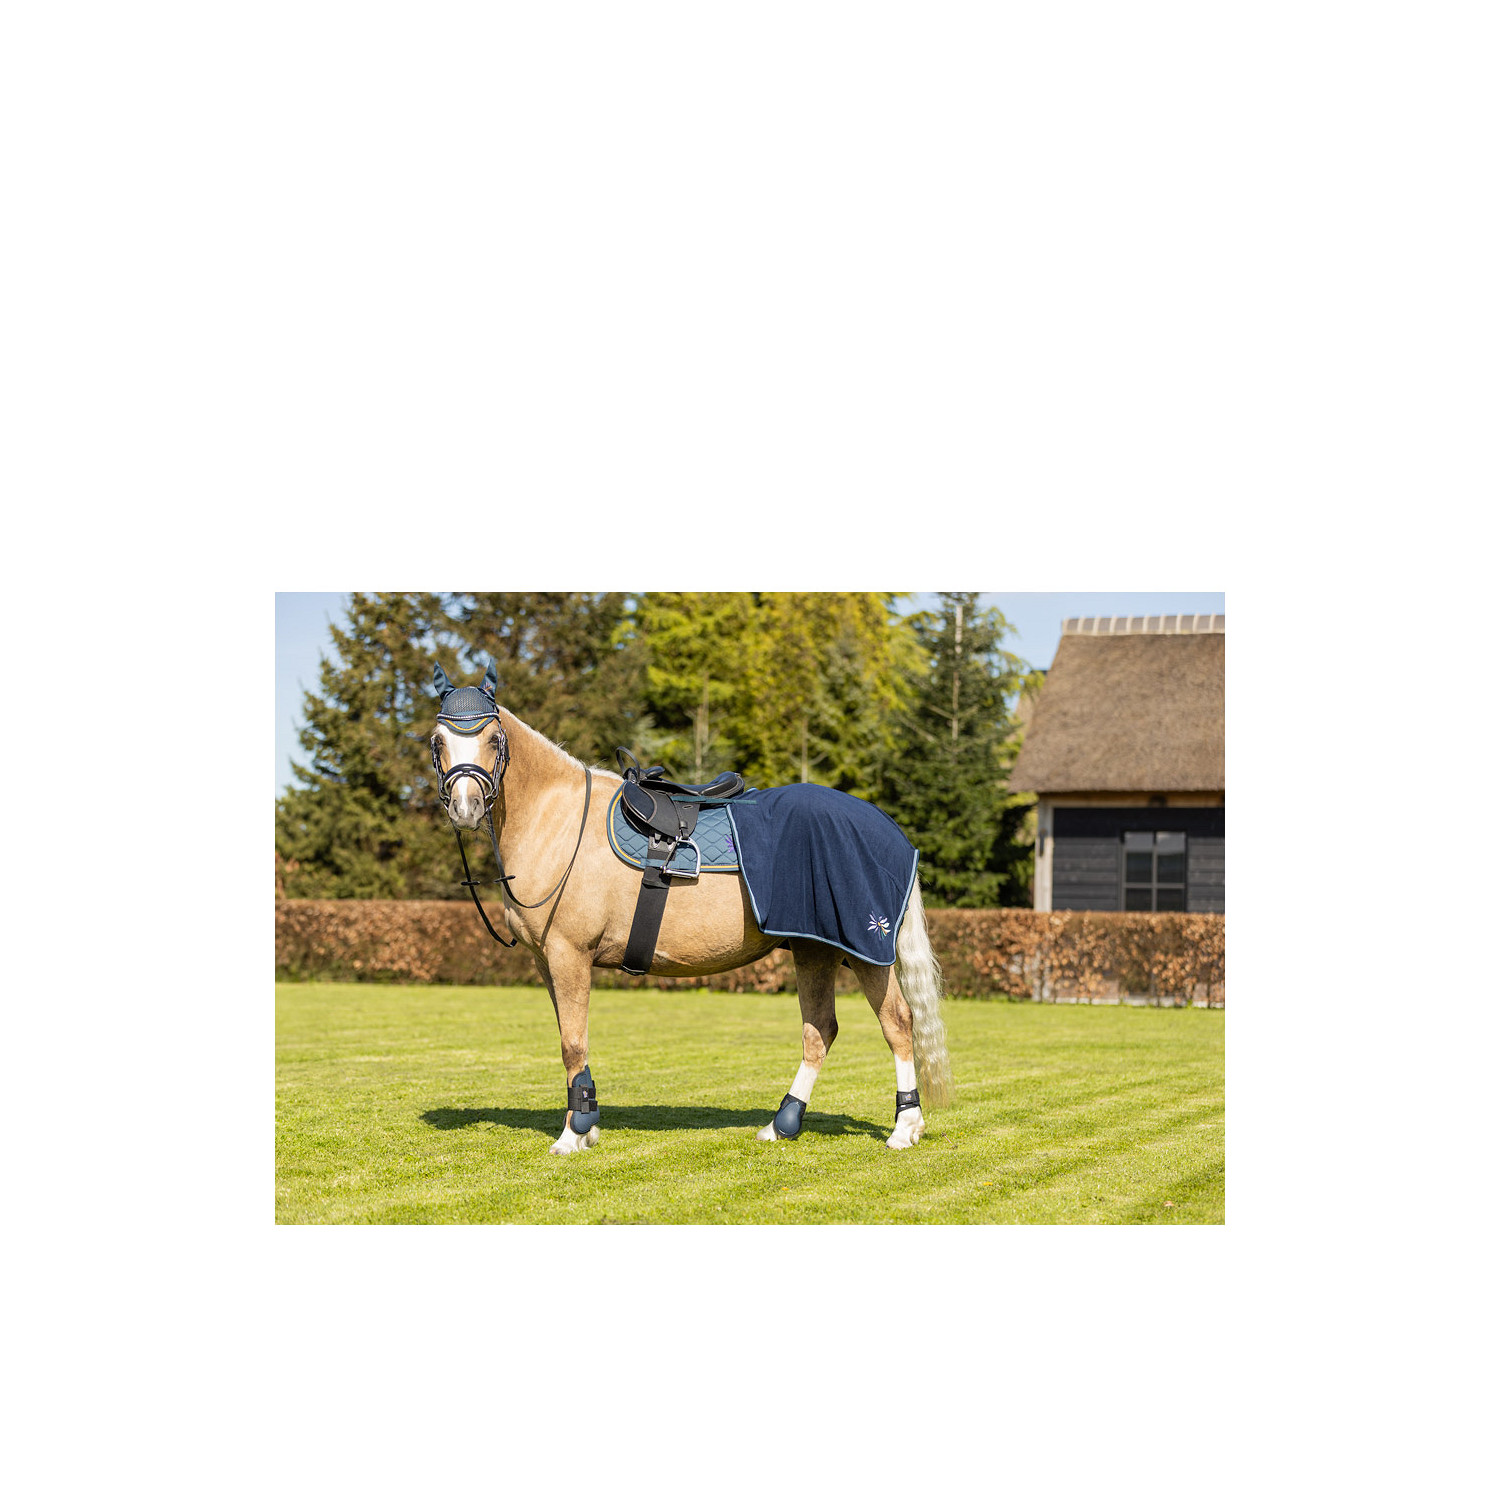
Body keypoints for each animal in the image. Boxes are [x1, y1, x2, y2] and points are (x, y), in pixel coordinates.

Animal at [428, 662, 952, 1156]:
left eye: (494, 739)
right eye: (438, 740)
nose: (465, 808)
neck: (558, 820)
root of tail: (888, 828)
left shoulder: (568, 955)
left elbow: (572, 1044)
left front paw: (573, 1134)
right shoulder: (547, 962)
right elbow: (570, 1041)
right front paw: (587, 1123)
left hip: (866, 951)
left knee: (897, 1024)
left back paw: (904, 1127)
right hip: (815, 951)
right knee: (820, 1031)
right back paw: (781, 1125)